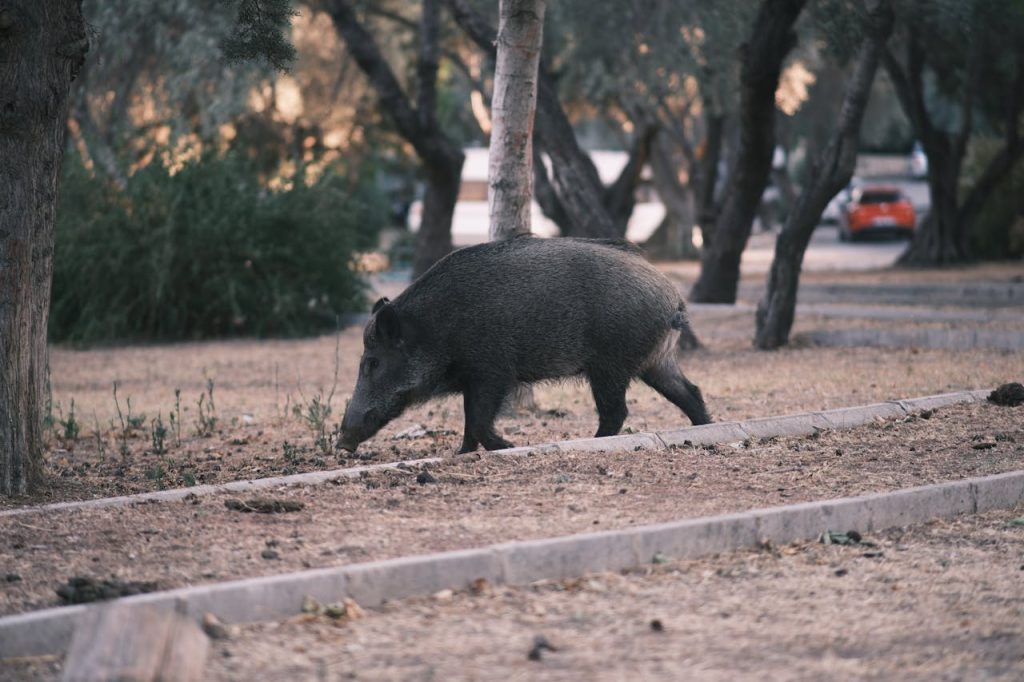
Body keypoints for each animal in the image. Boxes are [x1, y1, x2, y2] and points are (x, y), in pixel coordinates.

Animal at [337, 236, 711, 453]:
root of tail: (673, 299)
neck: (434, 330)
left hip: (610, 365)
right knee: (690, 391)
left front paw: (506, 445)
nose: (342, 442)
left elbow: (478, 421)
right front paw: (463, 453)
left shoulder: (493, 372)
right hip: (654, 361)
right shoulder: (473, 380)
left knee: (616, 410)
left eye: (372, 362)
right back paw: (704, 427)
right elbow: (469, 421)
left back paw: (594, 443)